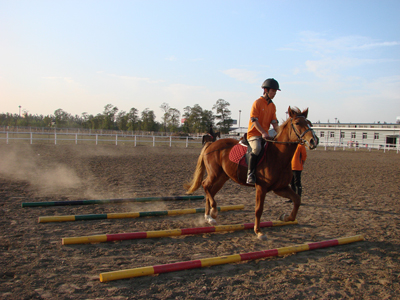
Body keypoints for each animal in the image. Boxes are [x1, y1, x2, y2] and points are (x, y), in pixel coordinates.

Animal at [184, 106, 318, 240]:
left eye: (309, 123)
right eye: (297, 123)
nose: (314, 141)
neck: (278, 155)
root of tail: (211, 144)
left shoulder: (280, 188)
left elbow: (297, 200)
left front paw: (285, 217)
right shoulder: (261, 187)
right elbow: (259, 209)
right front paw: (258, 231)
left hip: (222, 177)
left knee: (210, 191)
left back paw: (209, 217)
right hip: (214, 173)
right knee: (205, 185)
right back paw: (213, 212)